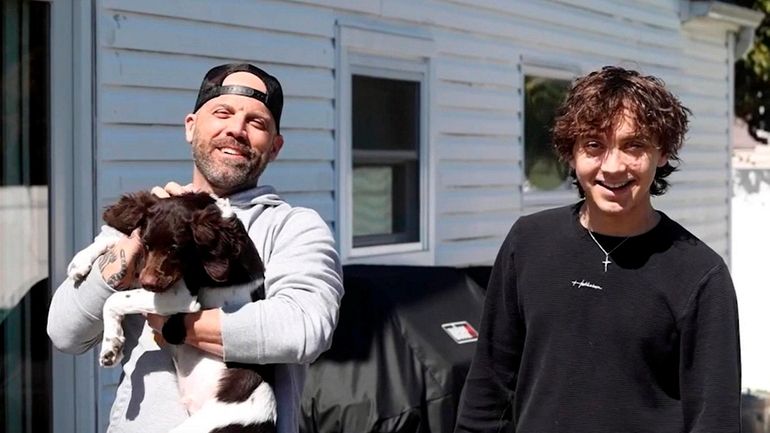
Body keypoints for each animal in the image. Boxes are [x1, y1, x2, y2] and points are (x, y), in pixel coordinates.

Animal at [67, 192, 276, 432]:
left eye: (175, 248)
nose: (148, 284)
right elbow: (116, 242)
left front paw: (111, 346)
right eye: (146, 243)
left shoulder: (181, 296)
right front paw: (79, 262)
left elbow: (114, 299)